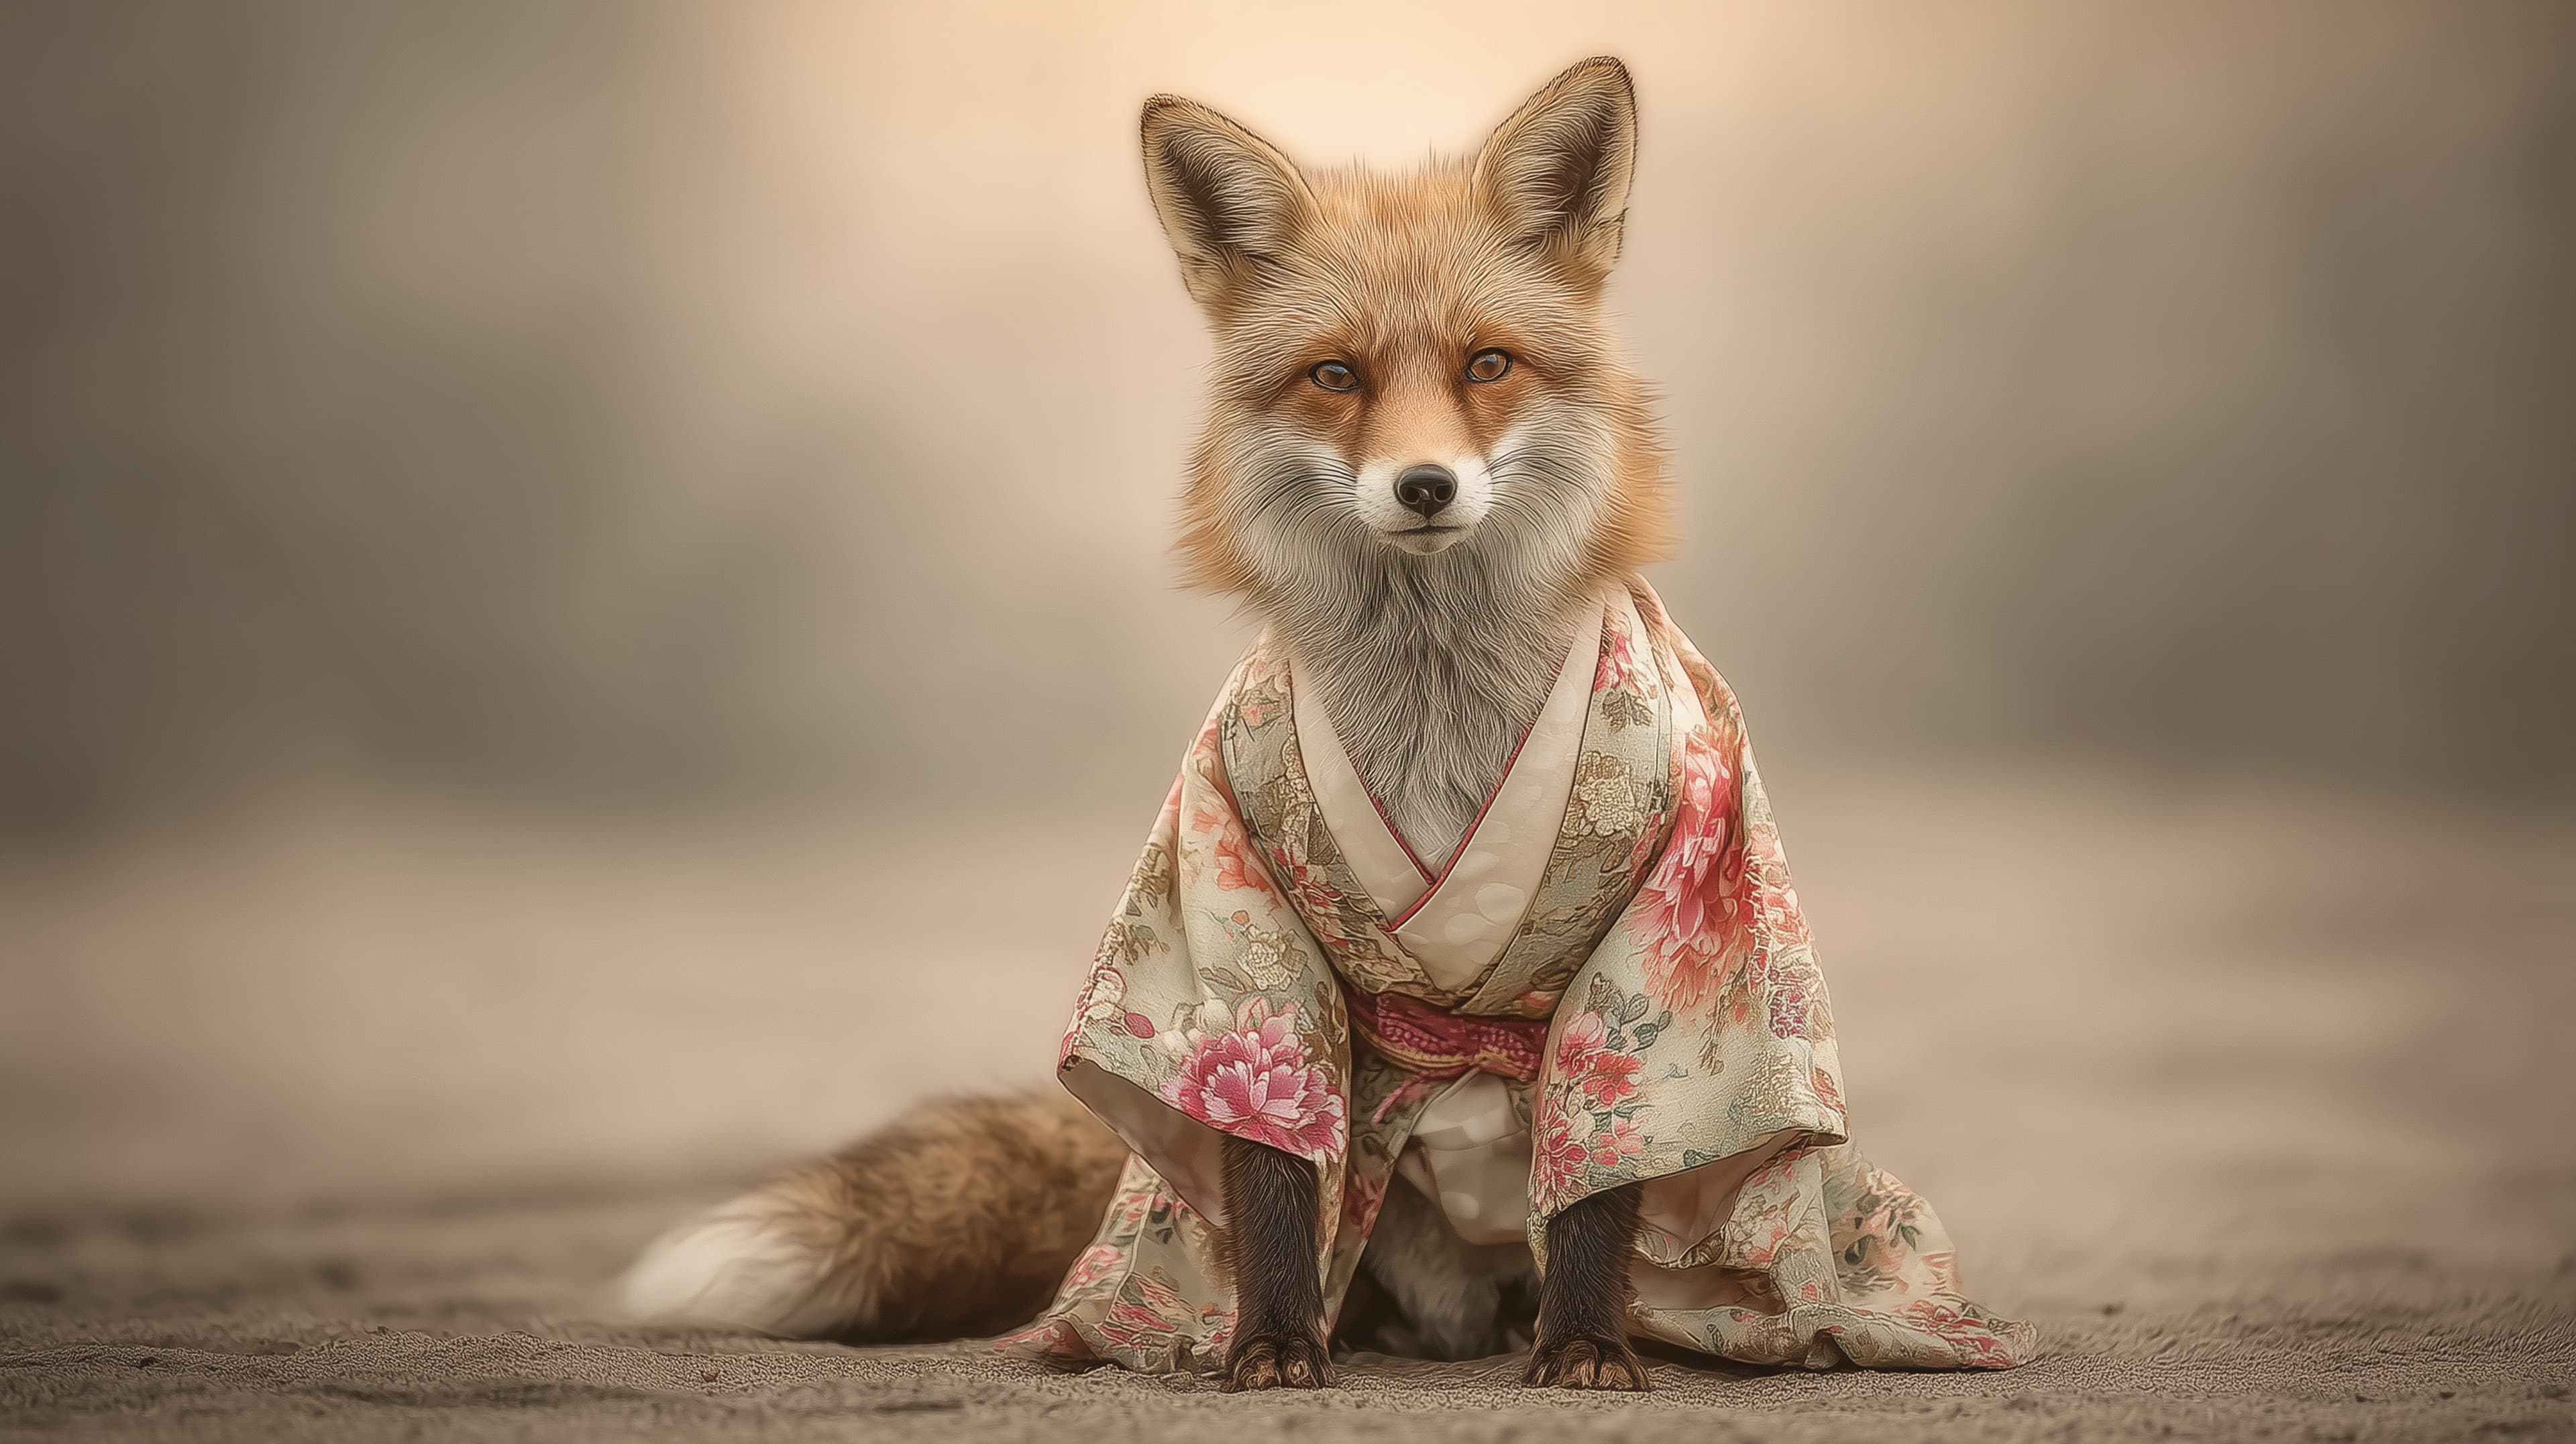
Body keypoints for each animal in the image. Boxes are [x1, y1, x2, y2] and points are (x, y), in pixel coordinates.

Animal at [627, 57, 1676, 1389]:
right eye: (1337, 376)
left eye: (1487, 365)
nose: (1425, 485)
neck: (1434, 721)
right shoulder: (1237, 907)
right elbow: (1268, 1154)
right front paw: (1274, 1342)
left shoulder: (1652, 925)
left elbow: (1605, 1162)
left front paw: (1585, 1342)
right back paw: (1358, 1324)